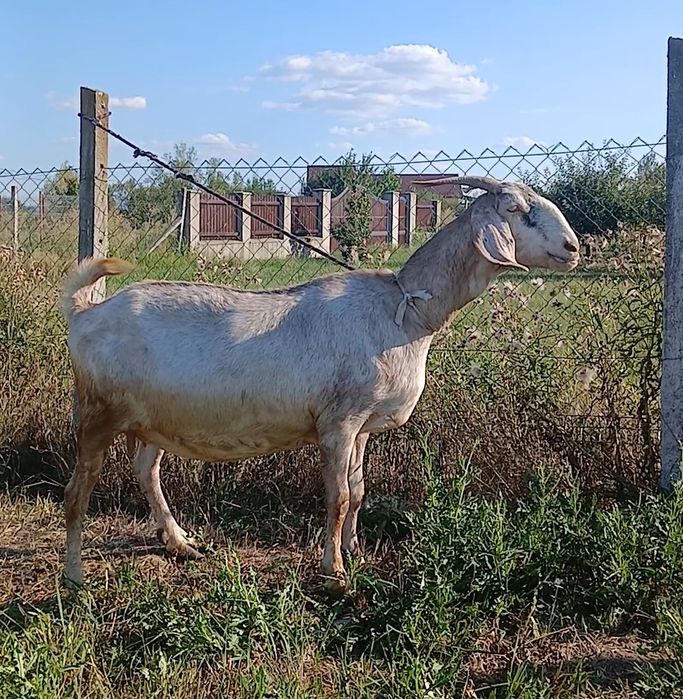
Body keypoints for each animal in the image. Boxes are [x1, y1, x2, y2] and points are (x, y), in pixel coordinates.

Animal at [60, 176, 580, 593]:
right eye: (516, 209)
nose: (575, 248)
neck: (405, 311)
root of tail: (85, 313)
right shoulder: (339, 422)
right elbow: (339, 496)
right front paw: (335, 572)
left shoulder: (364, 425)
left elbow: (360, 489)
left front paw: (356, 550)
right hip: (97, 410)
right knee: (77, 490)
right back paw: (75, 575)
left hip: (152, 418)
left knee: (146, 470)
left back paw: (180, 543)